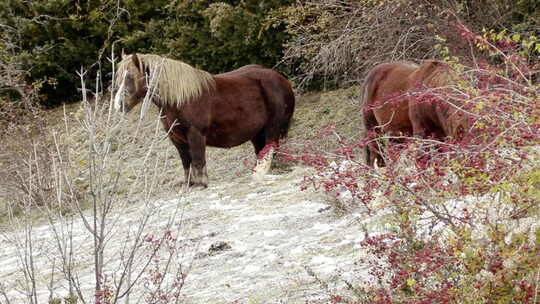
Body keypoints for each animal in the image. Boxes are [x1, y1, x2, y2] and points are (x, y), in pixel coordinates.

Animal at [113, 54, 296, 188]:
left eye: (129, 76)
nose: (118, 104)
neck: (182, 99)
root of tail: (281, 79)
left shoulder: (195, 134)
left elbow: (198, 158)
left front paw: (201, 183)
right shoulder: (177, 138)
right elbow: (186, 161)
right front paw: (190, 183)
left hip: (272, 127)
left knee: (270, 147)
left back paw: (260, 173)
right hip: (257, 132)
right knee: (263, 150)